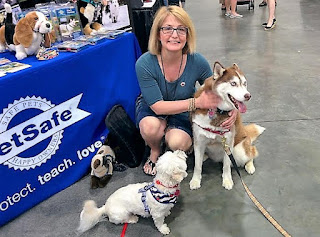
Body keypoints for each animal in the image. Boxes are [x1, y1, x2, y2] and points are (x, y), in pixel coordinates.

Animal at [190, 62, 264, 190]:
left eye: (245, 83)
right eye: (233, 83)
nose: (248, 96)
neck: (217, 110)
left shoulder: (228, 143)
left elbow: (226, 166)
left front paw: (227, 180)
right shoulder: (198, 141)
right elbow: (197, 166)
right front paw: (195, 180)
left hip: (240, 151)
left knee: (252, 152)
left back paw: (250, 166)